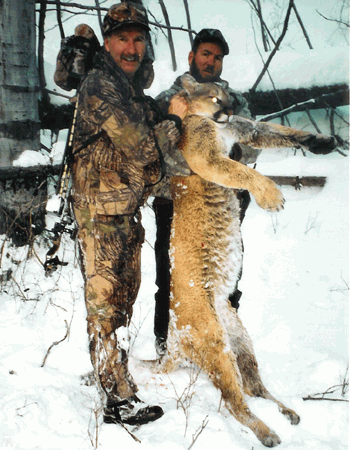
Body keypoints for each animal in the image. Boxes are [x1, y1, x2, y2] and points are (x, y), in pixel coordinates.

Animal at [151, 74, 336, 446]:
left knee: (253, 387)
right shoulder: (206, 157)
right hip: (215, 343)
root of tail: (173, 337)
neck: (213, 123)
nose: (230, 108)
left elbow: (279, 131)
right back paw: (268, 433)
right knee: (234, 401)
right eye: (214, 97)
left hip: (240, 340)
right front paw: (272, 196)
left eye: (228, 96)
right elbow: (240, 170)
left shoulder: (245, 130)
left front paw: (320, 141)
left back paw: (286, 412)